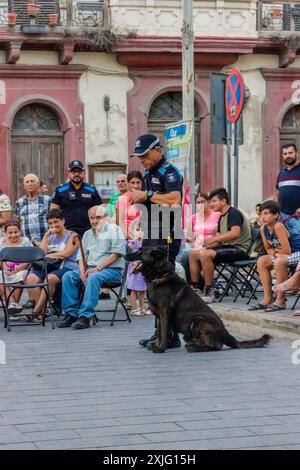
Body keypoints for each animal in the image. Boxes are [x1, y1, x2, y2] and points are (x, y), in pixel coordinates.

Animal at [126, 246, 272, 352]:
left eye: (139, 251)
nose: (125, 255)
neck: (159, 275)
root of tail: (227, 335)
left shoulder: (164, 312)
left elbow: (163, 332)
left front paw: (161, 348)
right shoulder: (158, 315)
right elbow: (160, 332)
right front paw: (157, 345)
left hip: (198, 320)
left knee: (215, 346)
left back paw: (195, 348)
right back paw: (193, 345)